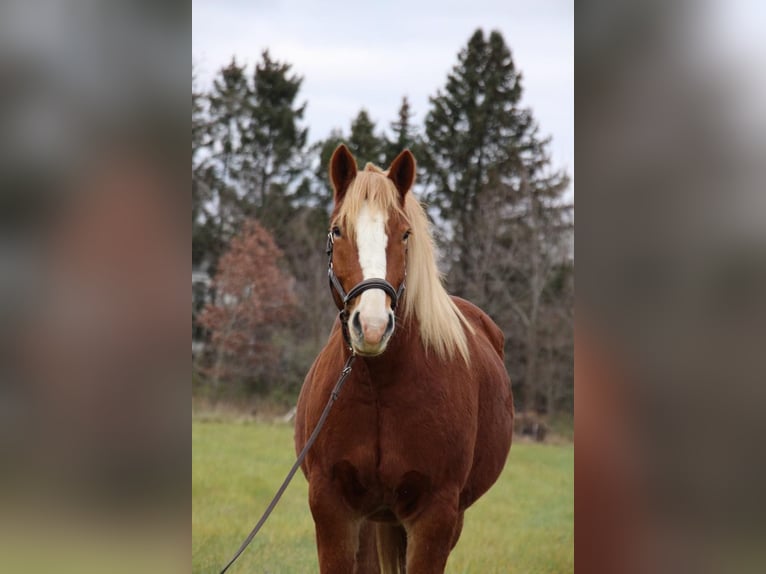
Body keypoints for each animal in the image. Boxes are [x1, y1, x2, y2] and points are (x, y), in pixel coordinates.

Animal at [294, 145, 516, 574]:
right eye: (337, 230)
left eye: (404, 233)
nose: (373, 326)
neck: (380, 386)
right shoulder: (332, 508)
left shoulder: (436, 515)